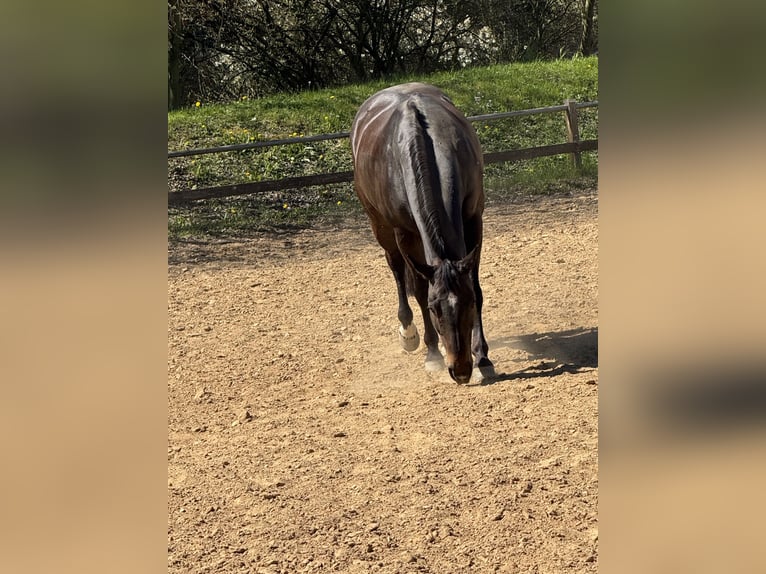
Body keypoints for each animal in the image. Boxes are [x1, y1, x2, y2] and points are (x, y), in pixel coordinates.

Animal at [350, 82, 495, 384]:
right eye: (433, 309)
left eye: (468, 304)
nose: (460, 370)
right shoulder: (405, 234)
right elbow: (418, 289)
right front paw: (433, 354)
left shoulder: (474, 219)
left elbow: (476, 285)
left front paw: (483, 357)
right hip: (381, 228)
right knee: (396, 270)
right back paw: (408, 333)